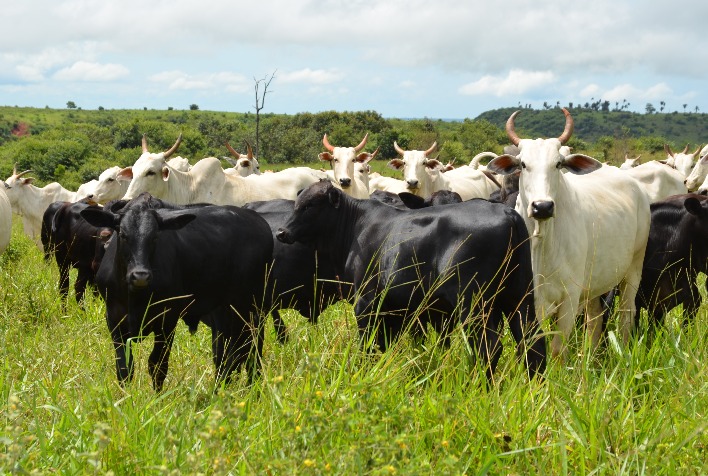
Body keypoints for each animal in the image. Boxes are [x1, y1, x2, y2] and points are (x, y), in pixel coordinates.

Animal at [81, 192, 274, 390]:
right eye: (123, 234)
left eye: (155, 236)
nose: (140, 276)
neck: (134, 297)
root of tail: (257, 221)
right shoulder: (114, 319)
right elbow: (124, 367)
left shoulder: (167, 320)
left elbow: (157, 365)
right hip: (228, 312)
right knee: (231, 352)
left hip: (252, 308)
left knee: (251, 348)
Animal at [490, 109, 648, 360]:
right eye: (523, 164)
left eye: (558, 164)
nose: (542, 207)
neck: (542, 243)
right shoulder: (527, 300)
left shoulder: (569, 298)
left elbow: (557, 350)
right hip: (594, 283)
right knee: (595, 318)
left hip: (633, 267)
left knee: (626, 313)